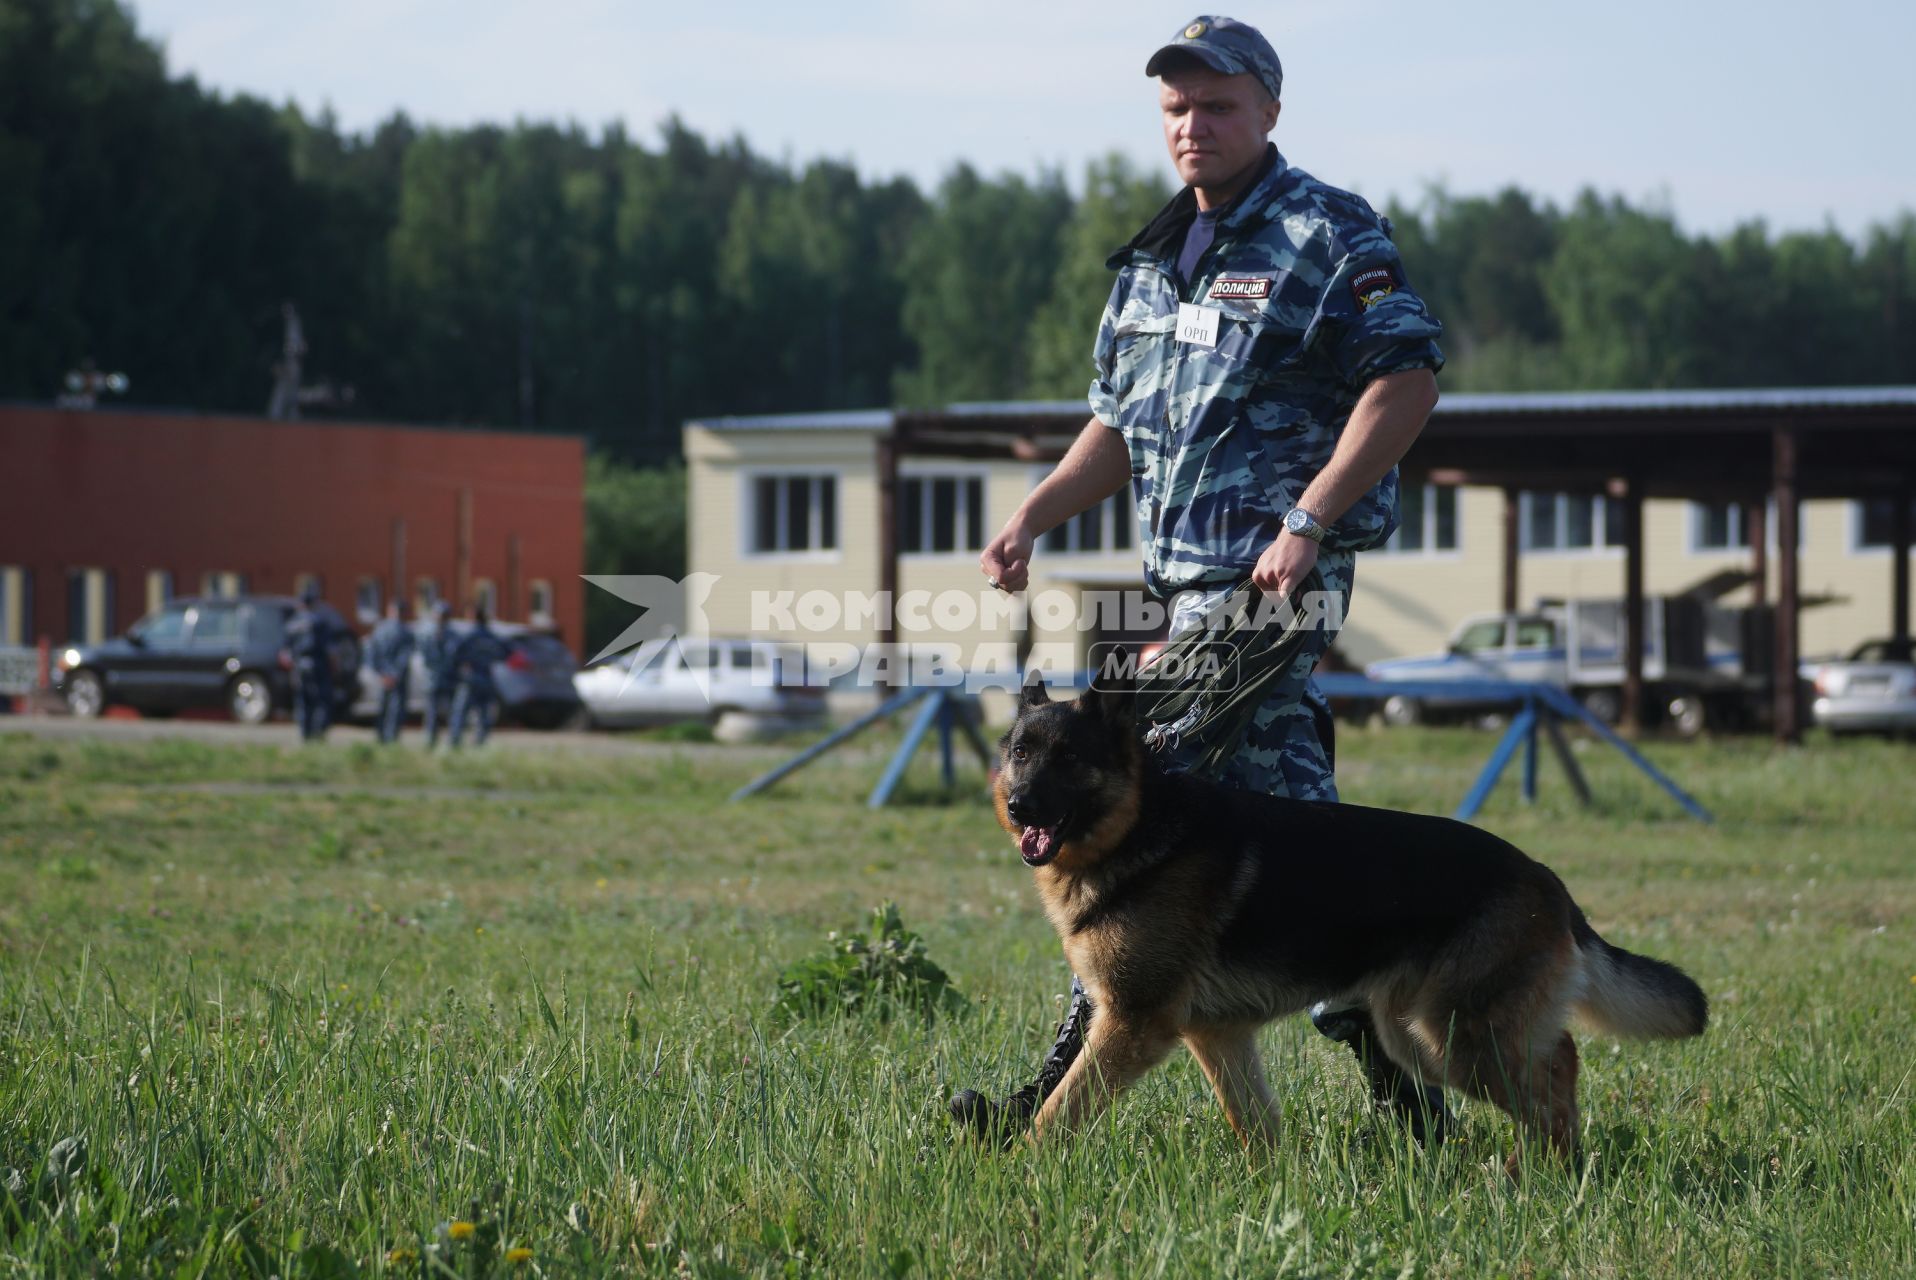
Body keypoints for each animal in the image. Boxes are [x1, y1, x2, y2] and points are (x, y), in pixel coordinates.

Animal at [1003, 666, 1709, 1172]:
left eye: (1069, 759)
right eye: (1019, 753)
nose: (1017, 806)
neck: (1136, 829)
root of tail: (1546, 878)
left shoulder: (1134, 1023)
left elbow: (1061, 1108)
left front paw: (1023, 1171)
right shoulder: (1216, 1034)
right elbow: (1252, 1120)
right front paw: (1274, 1187)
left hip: (1454, 1039)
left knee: (1549, 1087)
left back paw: (1539, 1175)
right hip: (1419, 1034)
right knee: (1559, 1056)